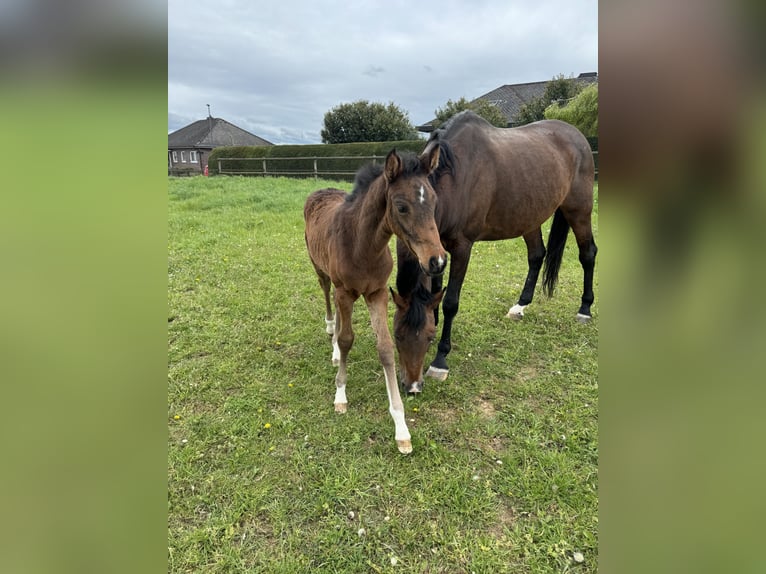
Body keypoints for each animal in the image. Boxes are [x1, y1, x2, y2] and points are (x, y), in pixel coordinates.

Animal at [304, 147, 448, 454]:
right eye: (401, 206)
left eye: (433, 202)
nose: (437, 260)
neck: (362, 246)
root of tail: (321, 190)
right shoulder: (346, 291)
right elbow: (347, 339)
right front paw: (340, 394)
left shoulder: (377, 293)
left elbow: (384, 348)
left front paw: (401, 428)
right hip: (322, 271)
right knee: (328, 297)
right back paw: (331, 335)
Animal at [392, 110, 596, 394]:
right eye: (397, 334)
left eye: (429, 337)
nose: (412, 387)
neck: (454, 179)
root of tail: (577, 136)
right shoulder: (436, 250)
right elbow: (435, 292)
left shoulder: (461, 247)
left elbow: (450, 301)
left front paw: (440, 360)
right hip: (529, 217)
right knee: (537, 255)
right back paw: (520, 306)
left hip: (579, 211)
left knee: (588, 254)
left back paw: (585, 309)